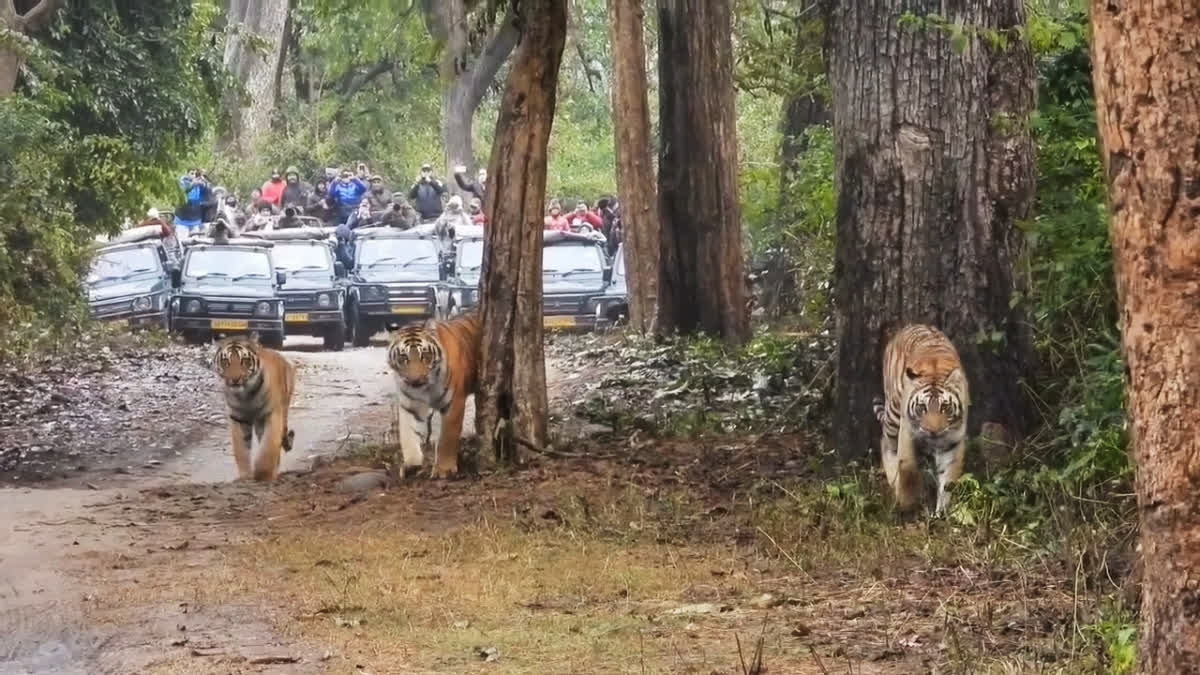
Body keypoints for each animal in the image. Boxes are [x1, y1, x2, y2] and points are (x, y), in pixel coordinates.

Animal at [214, 335, 297, 481]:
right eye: (225, 362)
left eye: (245, 361)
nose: (235, 379)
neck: (246, 395)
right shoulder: (238, 418)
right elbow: (241, 450)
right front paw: (245, 477)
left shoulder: (272, 414)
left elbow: (268, 447)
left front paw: (263, 475)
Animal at [386, 312, 482, 479]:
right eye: (403, 358)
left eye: (425, 355)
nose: (416, 380)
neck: (425, 389)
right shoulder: (409, 405)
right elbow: (407, 435)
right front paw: (411, 465)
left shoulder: (453, 403)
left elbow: (447, 438)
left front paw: (444, 469)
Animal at [872, 323, 969, 516]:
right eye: (922, 408)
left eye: (945, 407)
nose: (933, 431)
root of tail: (908, 326)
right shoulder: (907, 431)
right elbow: (907, 467)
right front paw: (907, 503)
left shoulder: (953, 441)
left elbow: (948, 478)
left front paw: (941, 513)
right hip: (894, 414)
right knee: (886, 443)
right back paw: (892, 478)